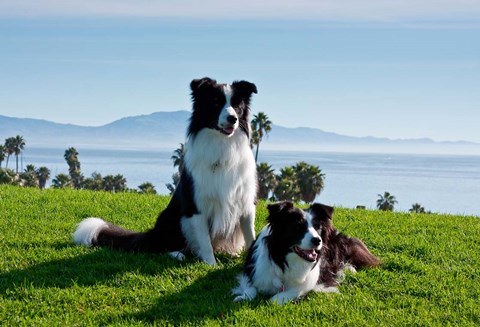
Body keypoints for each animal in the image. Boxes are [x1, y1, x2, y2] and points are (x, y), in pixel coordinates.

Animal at [73, 77, 258, 266]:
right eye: (215, 102)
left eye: (237, 106)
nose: (233, 118)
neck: (223, 146)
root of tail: (153, 233)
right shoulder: (196, 205)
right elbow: (205, 242)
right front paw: (210, 264)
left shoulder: (245, 204)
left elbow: (251, 236)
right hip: (171, 217)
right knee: (163, 246)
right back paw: (177, 254)